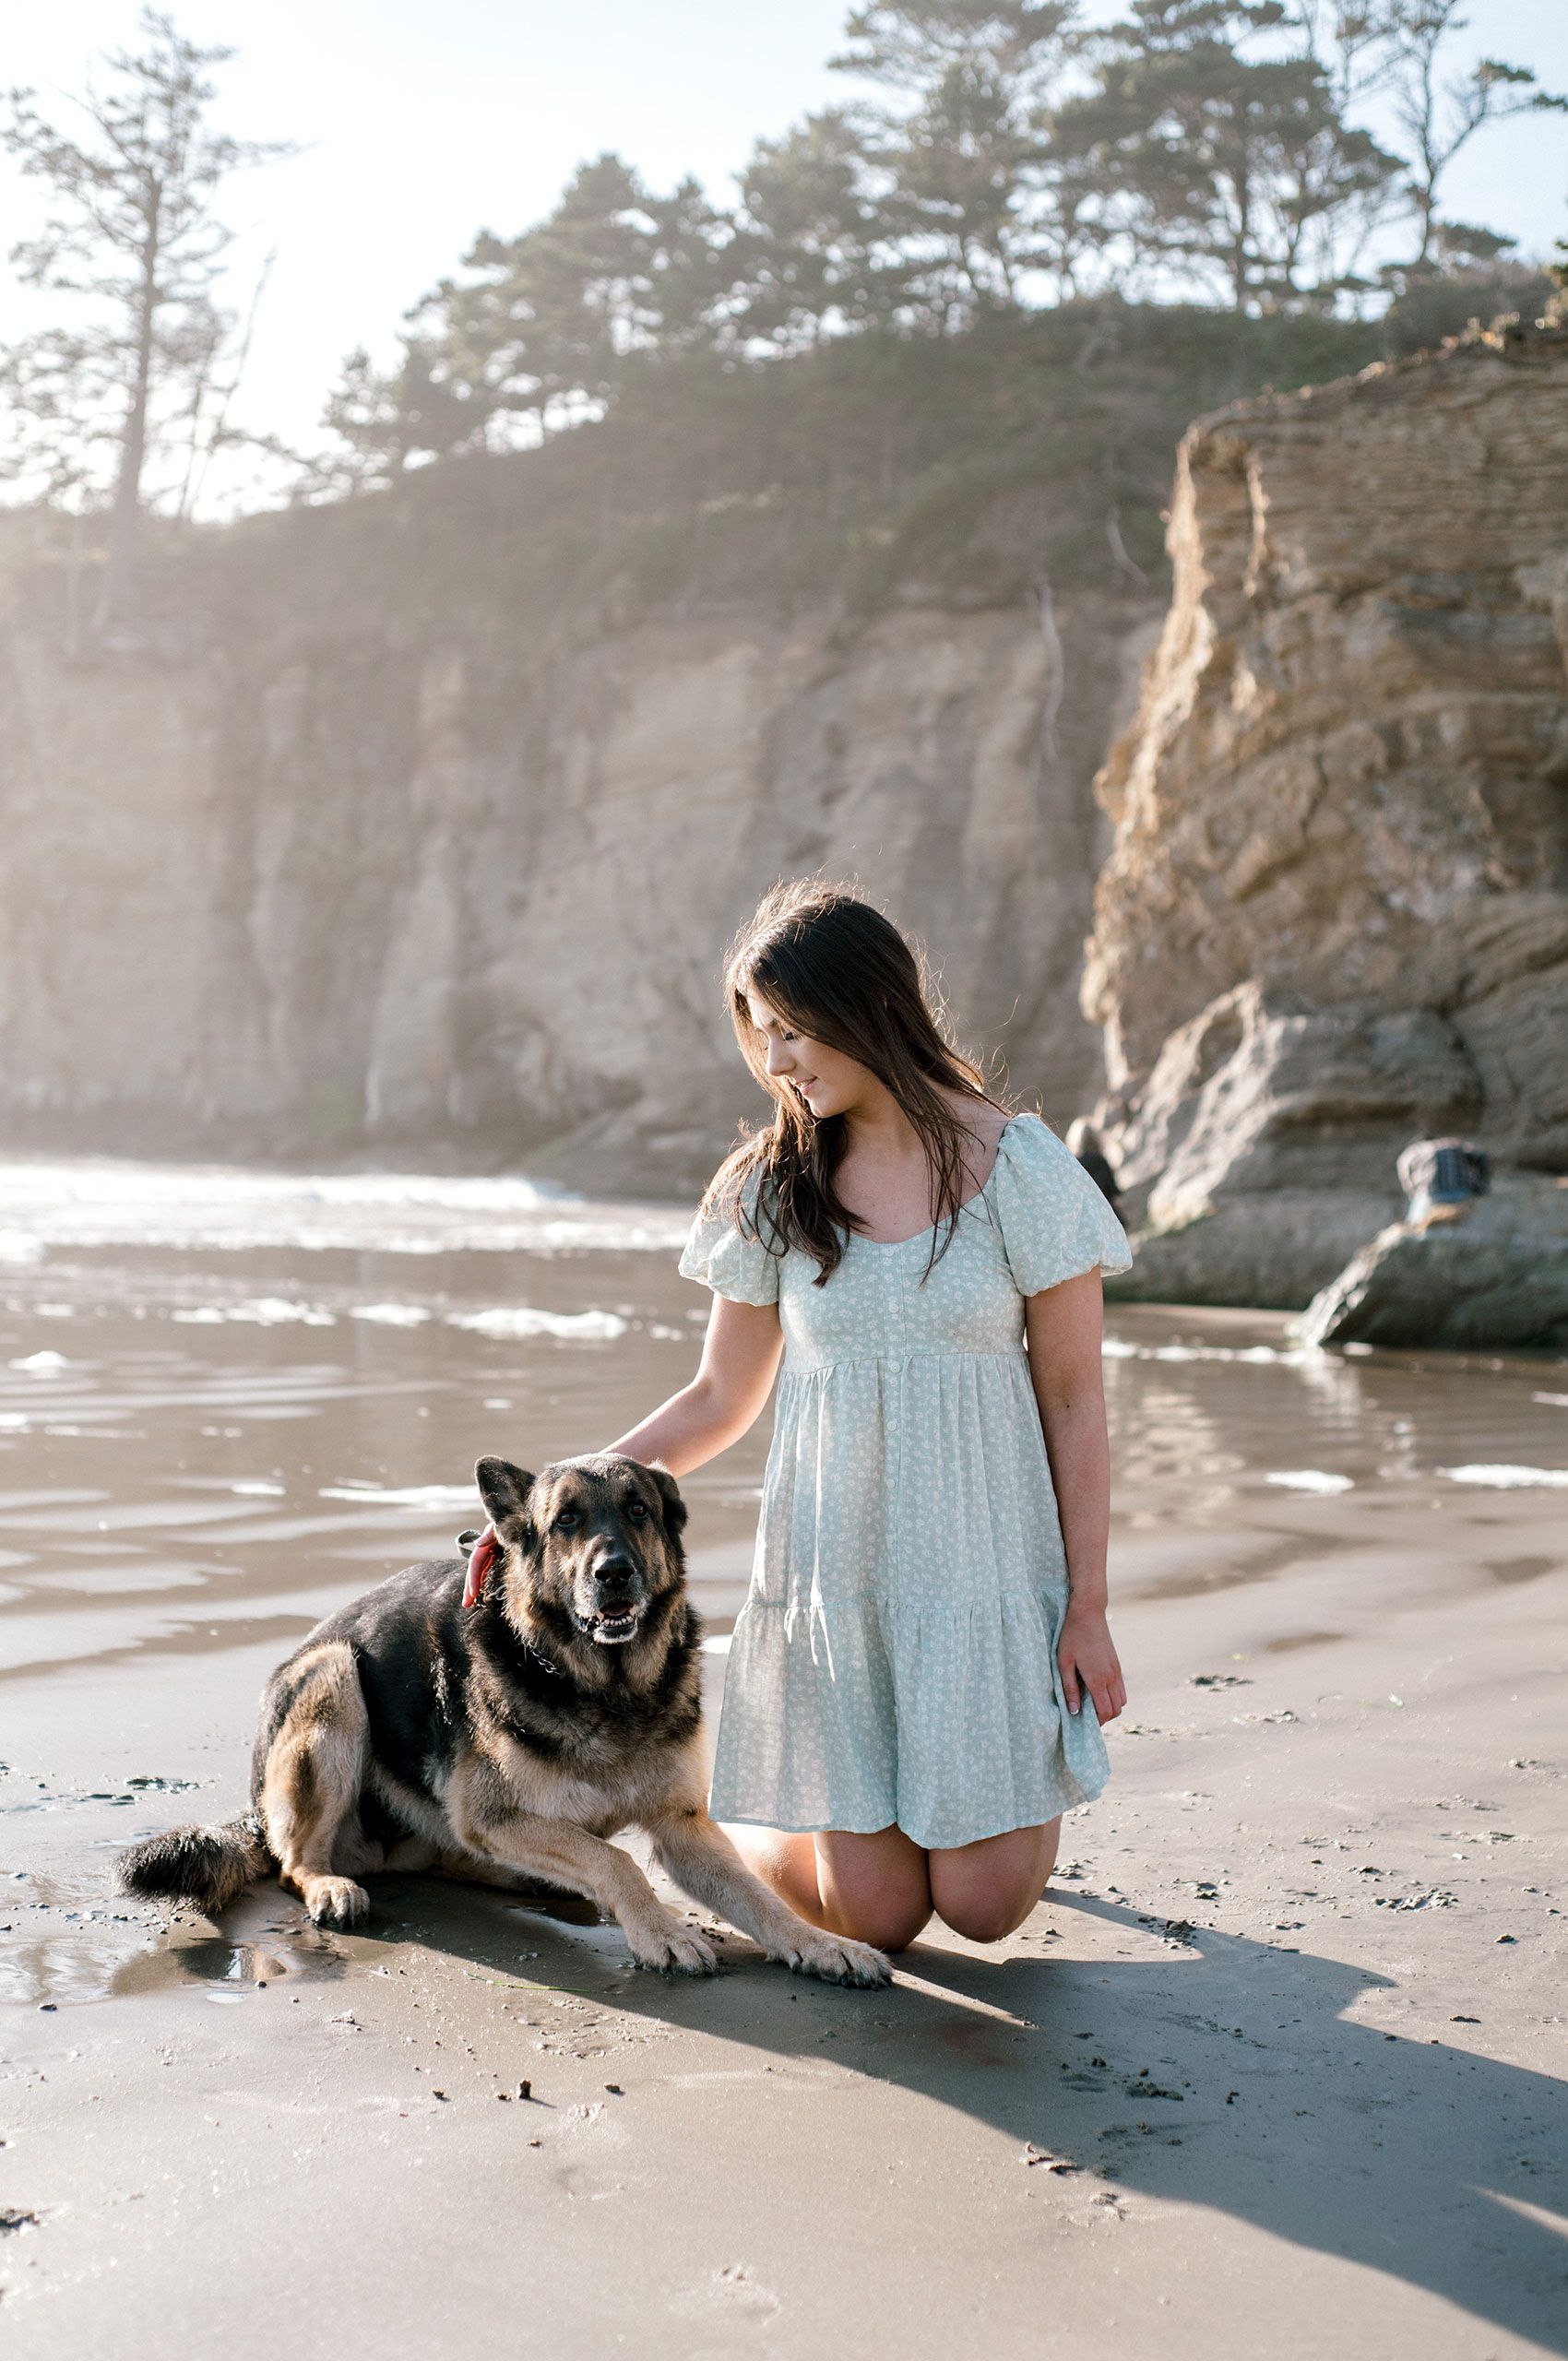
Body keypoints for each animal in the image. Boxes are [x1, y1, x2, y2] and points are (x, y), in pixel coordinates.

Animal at [116, 1453, 887, 1974]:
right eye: (566, 1520)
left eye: (638, 1511)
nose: (614, 1573)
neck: (603, 1688)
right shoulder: (496, 1816)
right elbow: (613, 1858)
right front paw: (662, 1930)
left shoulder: (683, 1828)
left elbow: (758, 1897)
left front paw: (821, 1944)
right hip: (333, 1677)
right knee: (289, 1863)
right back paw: (330, 1885)